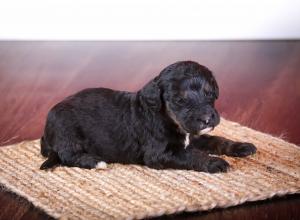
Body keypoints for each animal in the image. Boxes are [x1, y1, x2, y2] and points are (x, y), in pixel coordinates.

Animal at [39, 61, 255, 173]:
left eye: (210, 94)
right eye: (179, 100)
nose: (207, 119)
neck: (167, 117)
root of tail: (46, 134)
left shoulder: (193, 135)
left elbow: (216, 140)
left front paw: (242, 146)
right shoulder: (160, 153)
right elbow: (191, 155)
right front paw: (214, 162)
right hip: (67, 131)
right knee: (67, 155)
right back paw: (95, 161)